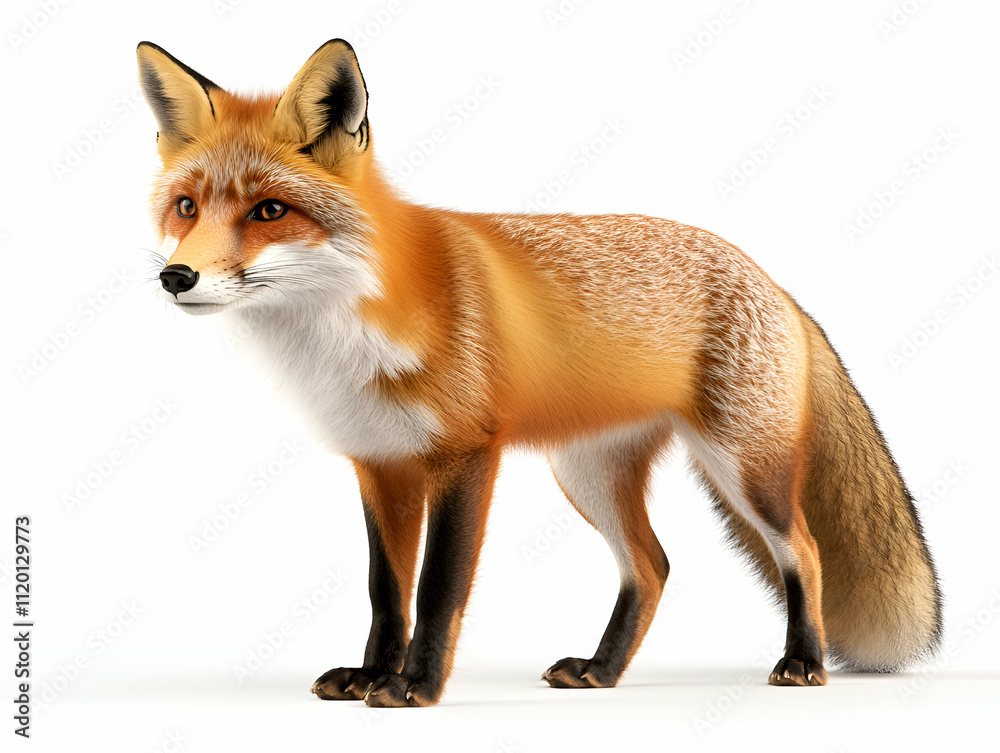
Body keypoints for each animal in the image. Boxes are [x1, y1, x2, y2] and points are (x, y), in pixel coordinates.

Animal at [137, 39, 942, 707]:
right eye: (187, 206)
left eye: (270, 211)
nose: (176, 277)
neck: (349, 332)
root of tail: (773, 280)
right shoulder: (380, 463)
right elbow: (384, 591)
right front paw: (371, 674)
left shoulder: (466, 454)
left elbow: (437, 587)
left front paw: (414, 687)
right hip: (586, 473)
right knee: (652, 565)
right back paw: (603, 671)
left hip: (745, 466)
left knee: (802, 550)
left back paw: (803, 662)